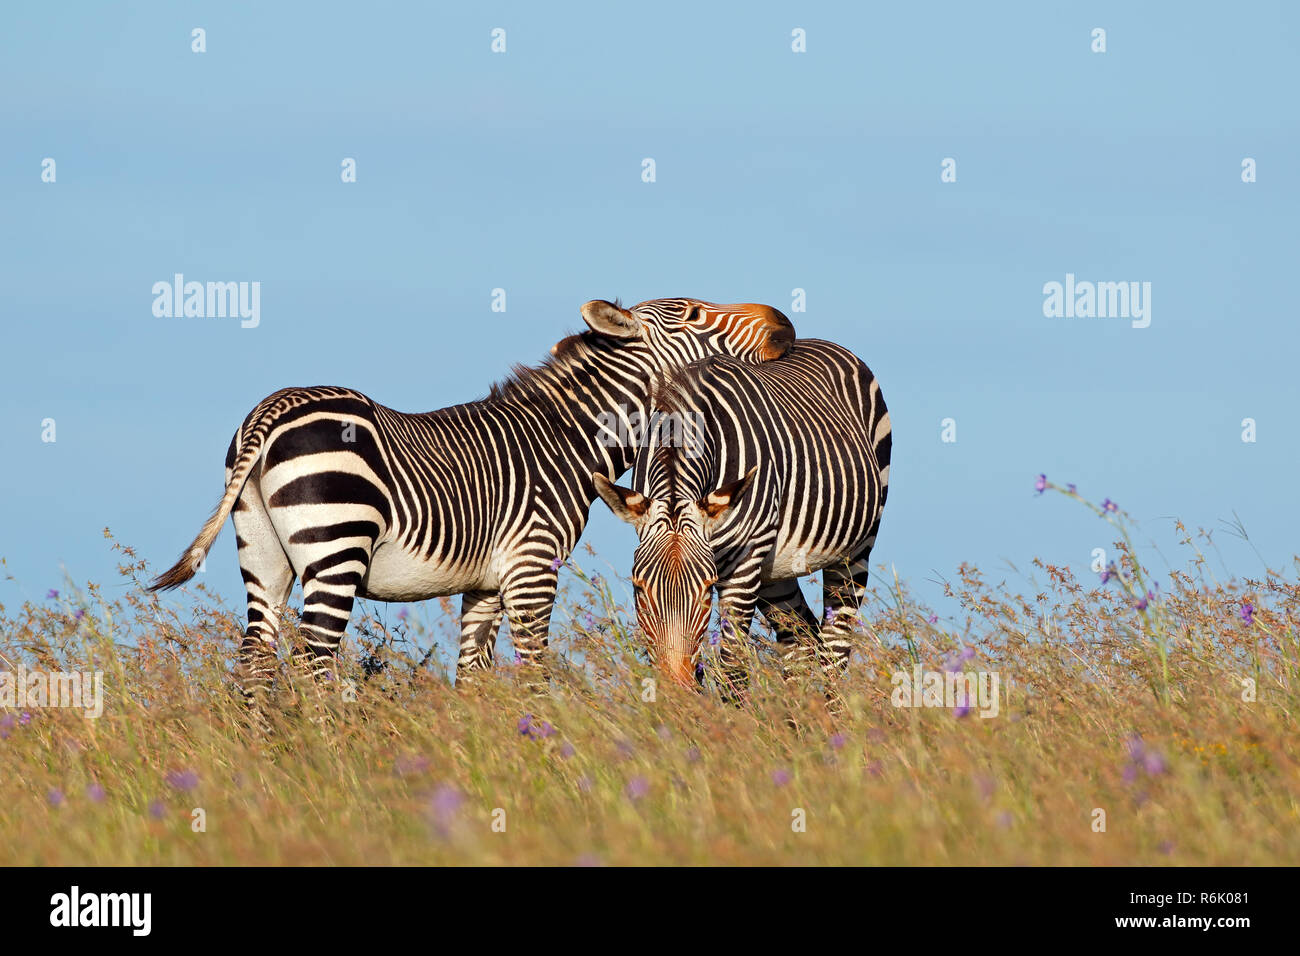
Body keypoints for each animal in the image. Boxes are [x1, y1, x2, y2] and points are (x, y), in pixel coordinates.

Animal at [147, 295, 795, 697]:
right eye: (695, 311)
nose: (784, 324)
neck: (568, 438)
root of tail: (272, 409)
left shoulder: (484, 583)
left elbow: (475, 680)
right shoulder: (533, 566)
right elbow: (533, 673)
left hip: (262, 552)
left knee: (256, 659)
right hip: (336, 547)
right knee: (313, 663)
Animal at [595, 338, 889, 712]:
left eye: (707, 590)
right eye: (638, 588)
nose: (677, 692)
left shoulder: (743, 563)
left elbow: (732, 666)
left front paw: (734, 724)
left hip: (855, 548)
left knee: (835, 642)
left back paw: (833, 717)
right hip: (775, 570)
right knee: (800, 639)